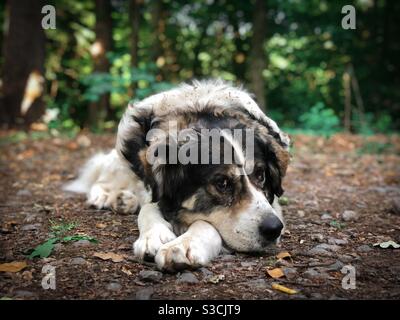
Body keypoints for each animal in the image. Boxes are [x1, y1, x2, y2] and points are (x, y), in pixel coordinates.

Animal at [65, 79, 290, 270]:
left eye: (261, 175)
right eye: (222, 183)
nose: (274, 228)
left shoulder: (274, 206)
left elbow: (204, 224)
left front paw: (183, 245)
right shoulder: (153, 187)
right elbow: (149, 207)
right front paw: (154, 235)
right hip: (122, 160)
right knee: (103, 179)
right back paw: (109, 197)